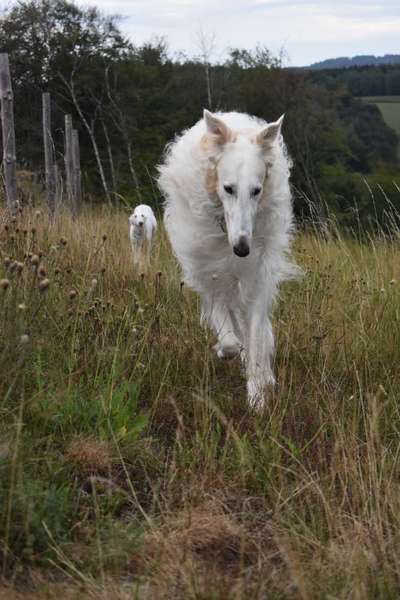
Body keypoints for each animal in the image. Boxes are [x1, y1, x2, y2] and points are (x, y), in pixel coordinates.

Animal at [158, 110, 298, 410]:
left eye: (257, 190)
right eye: (228, 188)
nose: (242, 249)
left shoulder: (257, 277)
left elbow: (255, 335)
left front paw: (257, 394)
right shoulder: (209, 276)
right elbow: (228, 334)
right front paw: (226, 350)